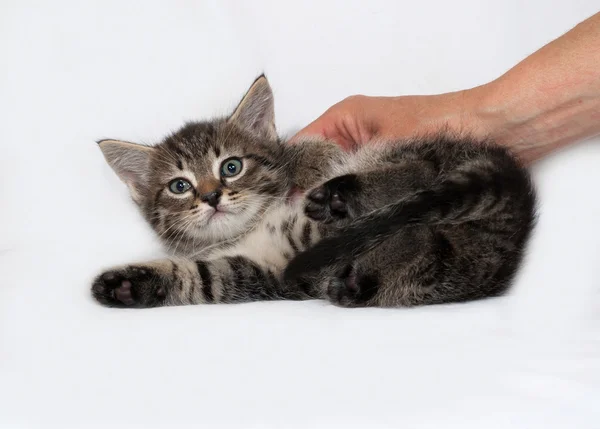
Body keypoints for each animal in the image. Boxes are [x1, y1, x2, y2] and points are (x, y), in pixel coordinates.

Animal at [92, 74, 536, 308]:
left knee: (419, 172)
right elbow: (202, 278)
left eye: (231, 167)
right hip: (437, 267)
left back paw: (344, 196)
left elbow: (308, 154)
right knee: (423, 241)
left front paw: (312, 156)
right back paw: (357, 273)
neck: (254, 225)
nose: (212, 196)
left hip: (411, 154)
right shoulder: (266, 271)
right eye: (179, 186)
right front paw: (126, 286)